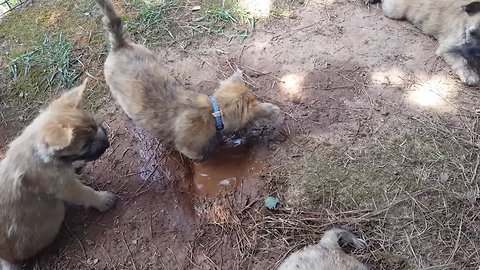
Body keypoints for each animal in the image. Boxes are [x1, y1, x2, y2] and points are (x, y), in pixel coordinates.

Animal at [0, 79, 116, 268]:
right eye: (85, 145)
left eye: (94, 125)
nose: (107, 143)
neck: (39, 154)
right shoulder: (65, 187)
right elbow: (87, 192)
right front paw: (102, 200)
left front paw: (75, 164)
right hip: (57, 210)